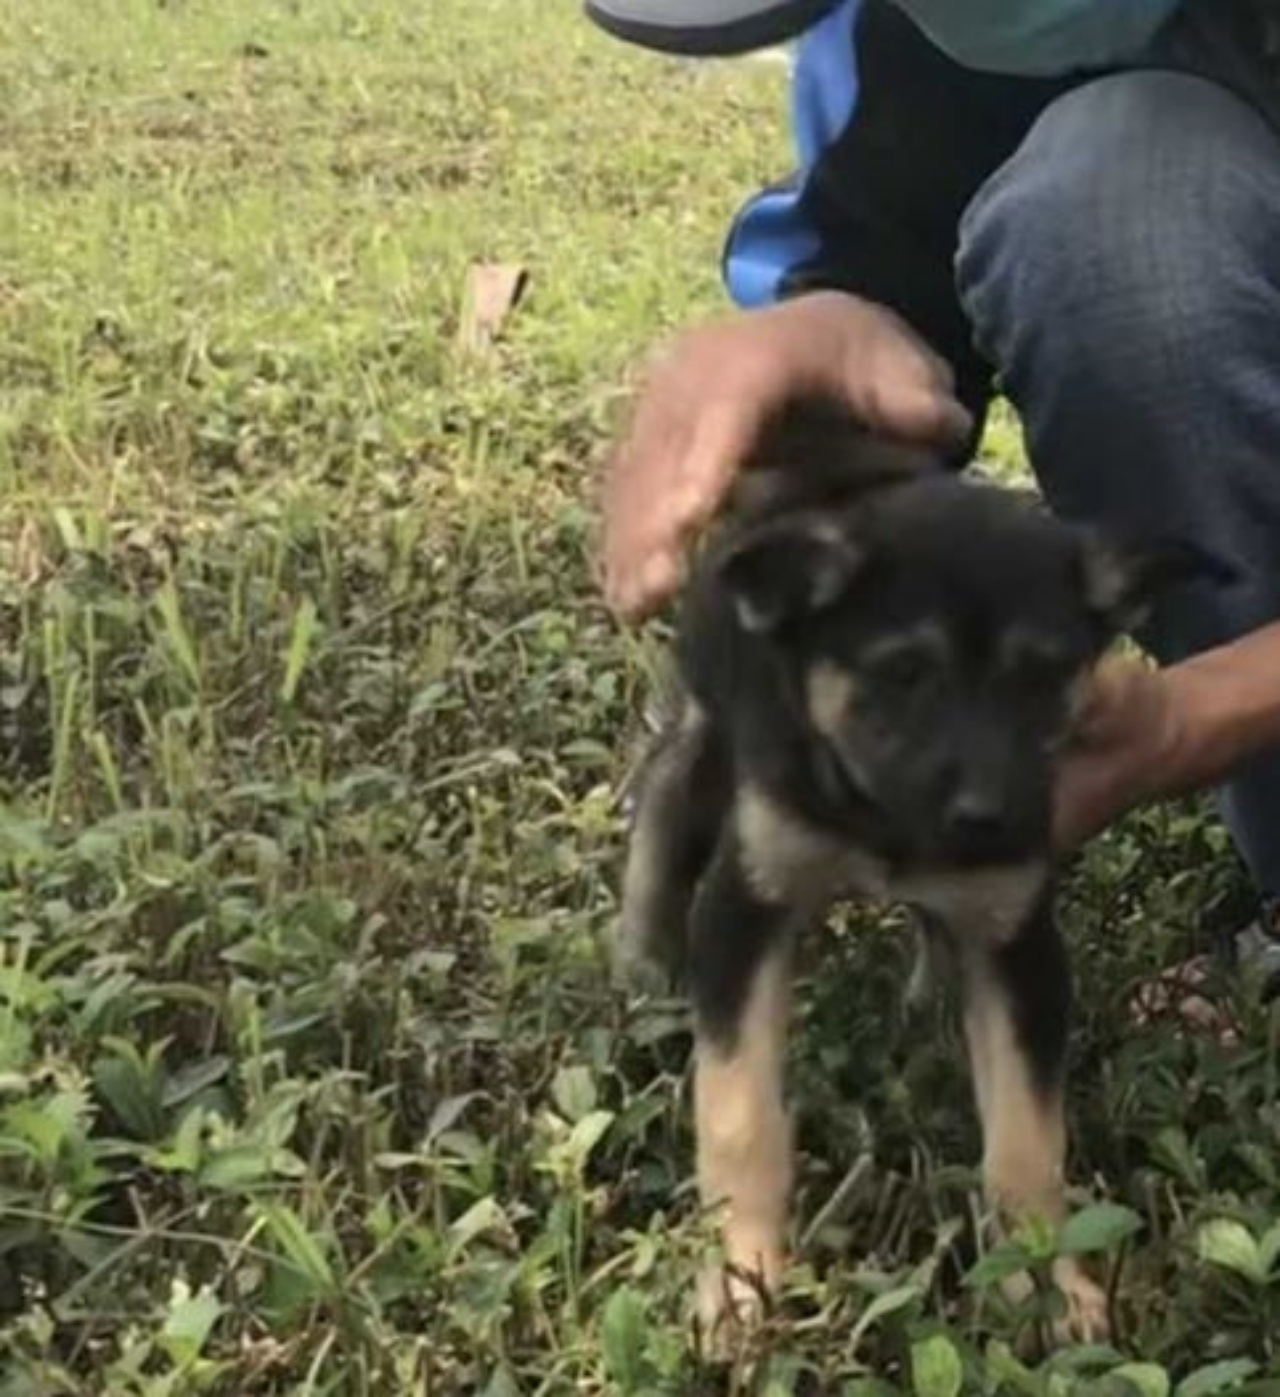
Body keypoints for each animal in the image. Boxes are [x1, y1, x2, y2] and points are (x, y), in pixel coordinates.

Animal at [614, 419, 1224, 1346]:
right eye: (903, 673)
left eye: (1040, 677)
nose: (984, 817)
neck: (885, 822)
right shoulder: (744, 905)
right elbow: (740, 1111)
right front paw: (742, 1274)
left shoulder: (1018, 940)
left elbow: (1026, 1140)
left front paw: (1047, 1281)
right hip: (703, 731)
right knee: (662, 810)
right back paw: (643, 972)